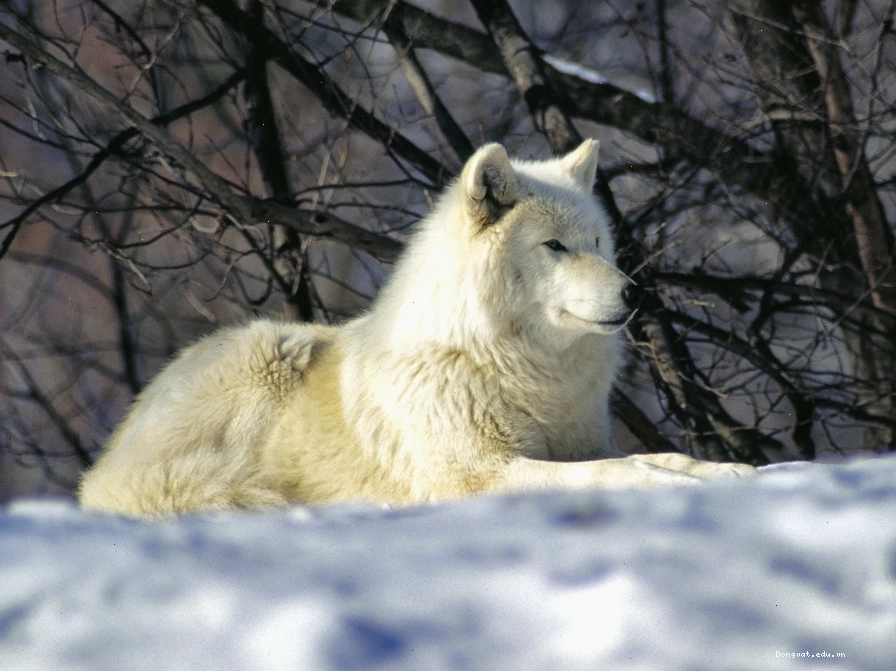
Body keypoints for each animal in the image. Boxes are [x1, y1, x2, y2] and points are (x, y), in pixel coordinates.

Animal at [78, 140, 754, 516]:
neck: (514, 365)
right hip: (271, 348)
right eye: (555, 246)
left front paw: (729, 474)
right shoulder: (479, 473)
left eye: (596, 243)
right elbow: (623, 472)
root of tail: (102, 471)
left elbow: (659, 454)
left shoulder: (583, 443)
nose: (634, 293)